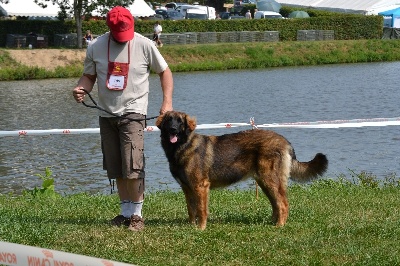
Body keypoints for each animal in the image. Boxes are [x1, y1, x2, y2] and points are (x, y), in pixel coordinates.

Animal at [155, 111, 326, 230]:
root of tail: (285, 141)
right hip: (264, 183)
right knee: (276, 204)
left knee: (283, 203)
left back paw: (279, 226)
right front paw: (191, 227)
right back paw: (273, 222)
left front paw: (201, 228)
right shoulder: (187, 188)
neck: (181, 147)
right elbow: (191, 210)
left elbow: (201, 210)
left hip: (270, 180)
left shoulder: (200, 187)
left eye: (180, 122)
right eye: (169, 120)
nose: (173, 129)